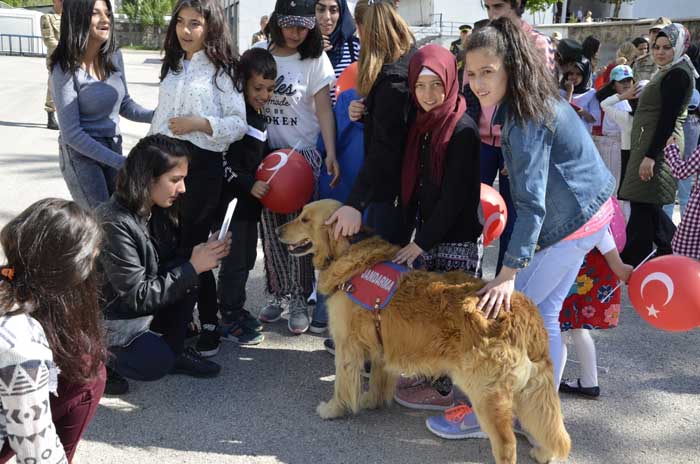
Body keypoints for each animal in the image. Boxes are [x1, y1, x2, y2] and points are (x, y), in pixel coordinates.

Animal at [276, 200, 572, 464]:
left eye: (304, 219)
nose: (278, 230)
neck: (351, 256)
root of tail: (523, 311)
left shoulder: (347, 346)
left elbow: (342, 385)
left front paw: (334, 409)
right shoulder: (381, 346)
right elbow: (378, 381)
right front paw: (372, 401)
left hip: (486, 392)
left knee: (507, 444)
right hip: (529, 392)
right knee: (549, 428)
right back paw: (544, 453)